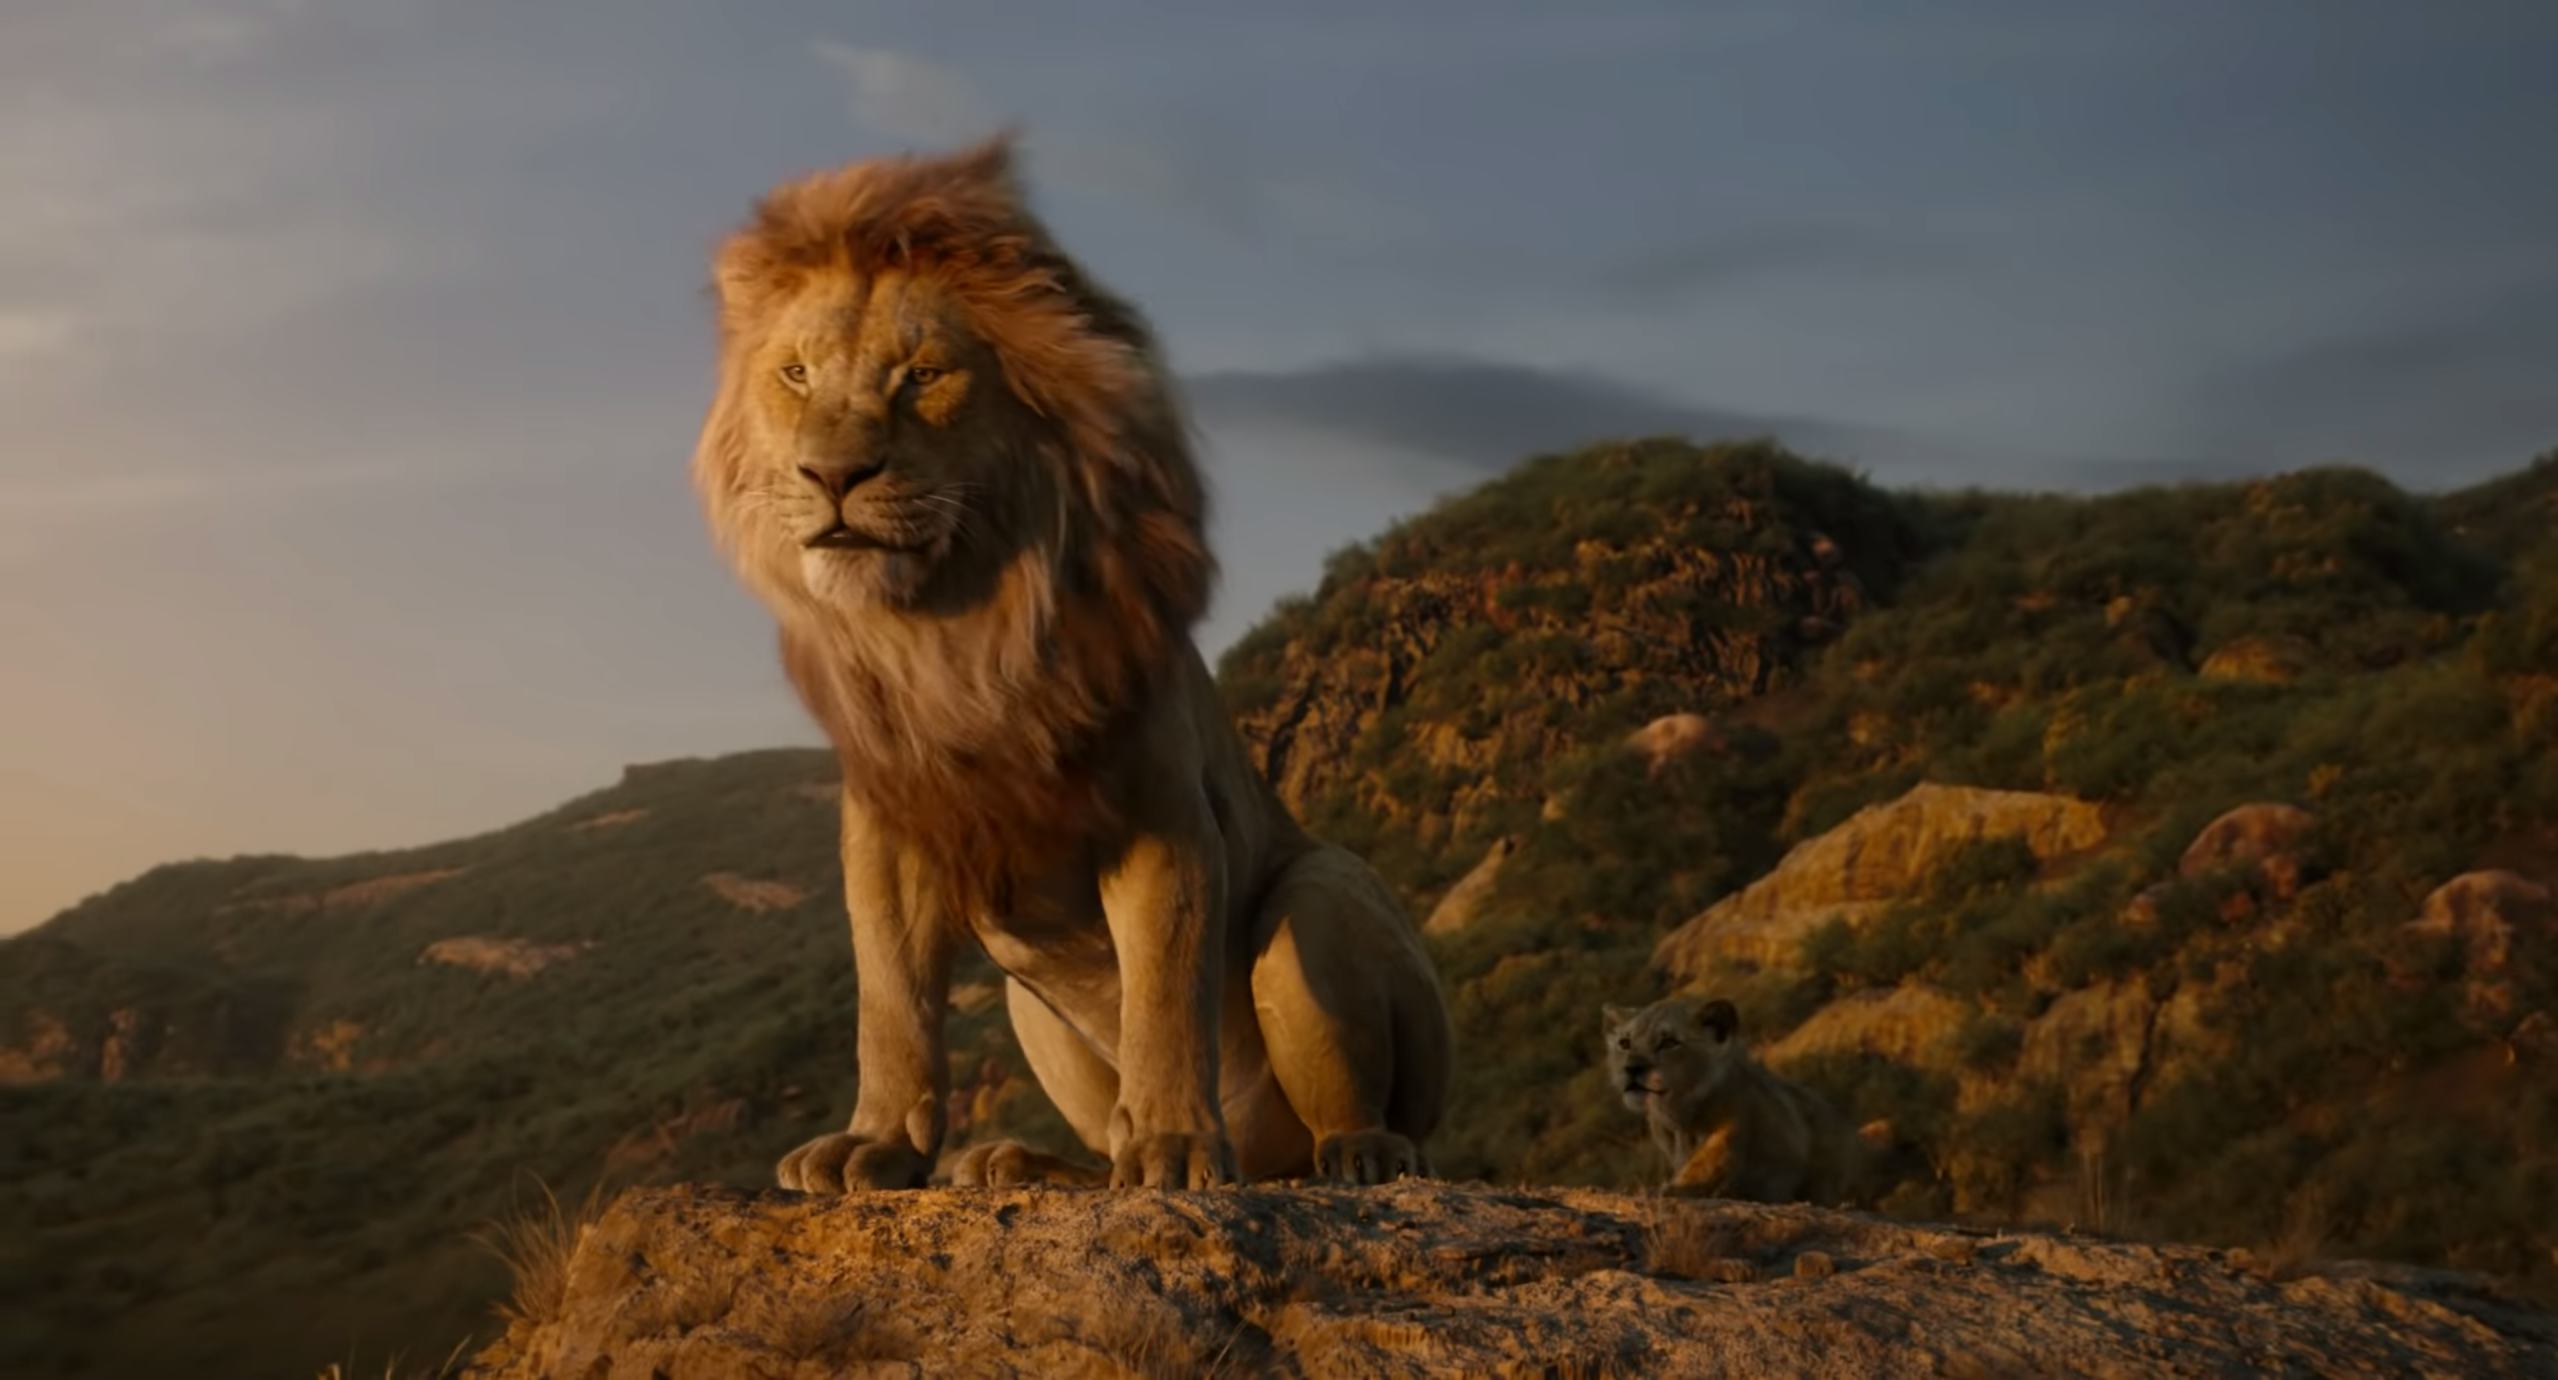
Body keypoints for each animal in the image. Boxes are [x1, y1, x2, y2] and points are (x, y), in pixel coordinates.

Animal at [690, 138, 1452, 1191]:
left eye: (923, 374)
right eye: (796, 374)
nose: (832, 476)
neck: (953, 630)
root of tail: (1266, 1160)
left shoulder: (1160, 814)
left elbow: (1164, 995)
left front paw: (1173, 1148)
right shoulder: (889, 834)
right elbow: (891, 1004)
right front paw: (875, 1145)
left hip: (1325, 893)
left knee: (1355, 1101)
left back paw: (1356, 1152)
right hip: (1031, 1007)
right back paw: (1023, 1164)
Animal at [1602, 996, 1855, 1204]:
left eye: (1669, 1042)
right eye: (1625, 1043)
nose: (1631, 1068)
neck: (1680, 1116)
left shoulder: (1742, 1132)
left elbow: (1708, 1164)